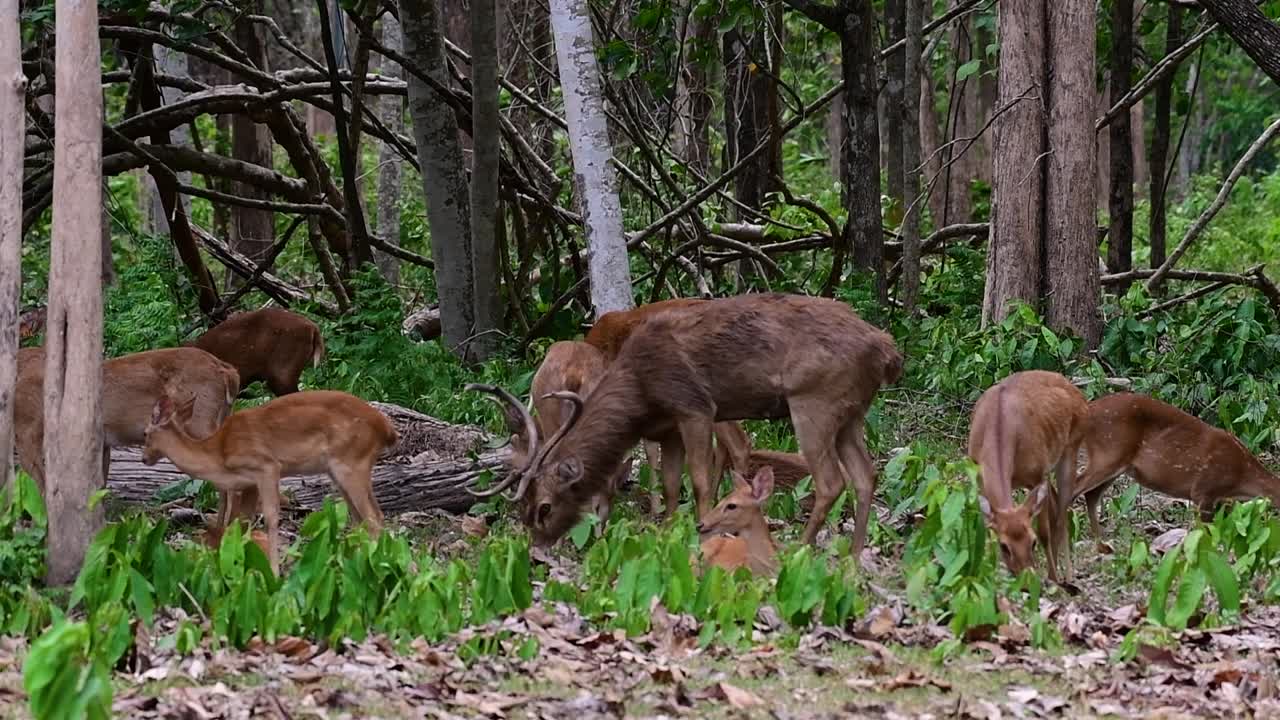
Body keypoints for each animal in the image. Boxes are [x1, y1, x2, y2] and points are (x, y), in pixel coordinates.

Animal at [142, 389, 396, 574]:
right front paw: (243, 564)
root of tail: (387, 429)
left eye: (145, 433)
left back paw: (373, 565)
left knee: (373, 518)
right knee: (362, 518)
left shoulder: (266, 466)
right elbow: (241, 523)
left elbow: (271, 518)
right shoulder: (248, 484)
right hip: (342, 470)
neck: (218, 456)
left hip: (351, 463)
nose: (144, 458)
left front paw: (273, 572)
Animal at [468, 292, 903, 560]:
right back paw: (854, 555)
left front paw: (703, 531)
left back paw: (800, 546)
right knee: (866, 475)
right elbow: (671, 482)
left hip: (815, 400)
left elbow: (699, 479)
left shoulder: (695, 407)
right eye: (523, 509)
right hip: (851, 413)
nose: (536, 550)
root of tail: (888, 350)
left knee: (831, 479)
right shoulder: (667, 428)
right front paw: (669, 531)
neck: (641, 393)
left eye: (544, 507)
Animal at [967, 370, 1087, 583]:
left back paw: (1067, 576)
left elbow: (1044, 532)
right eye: (1004, 546)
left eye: (1032, 542)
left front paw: (1053, 579)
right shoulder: (979, 479)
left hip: (1071, 448)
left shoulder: (1037, 475)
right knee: (1056, 505)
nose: (1027, 578)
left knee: (1063, 512)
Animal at [1072, 393, 1280, 545]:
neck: (1241, 476)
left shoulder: (1223, 500)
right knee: (1074, 487)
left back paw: (1101, 540)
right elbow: (1203, 531)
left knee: (1090, 494)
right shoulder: (1204, 489)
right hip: (1109, 453)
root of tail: (1088, 410)